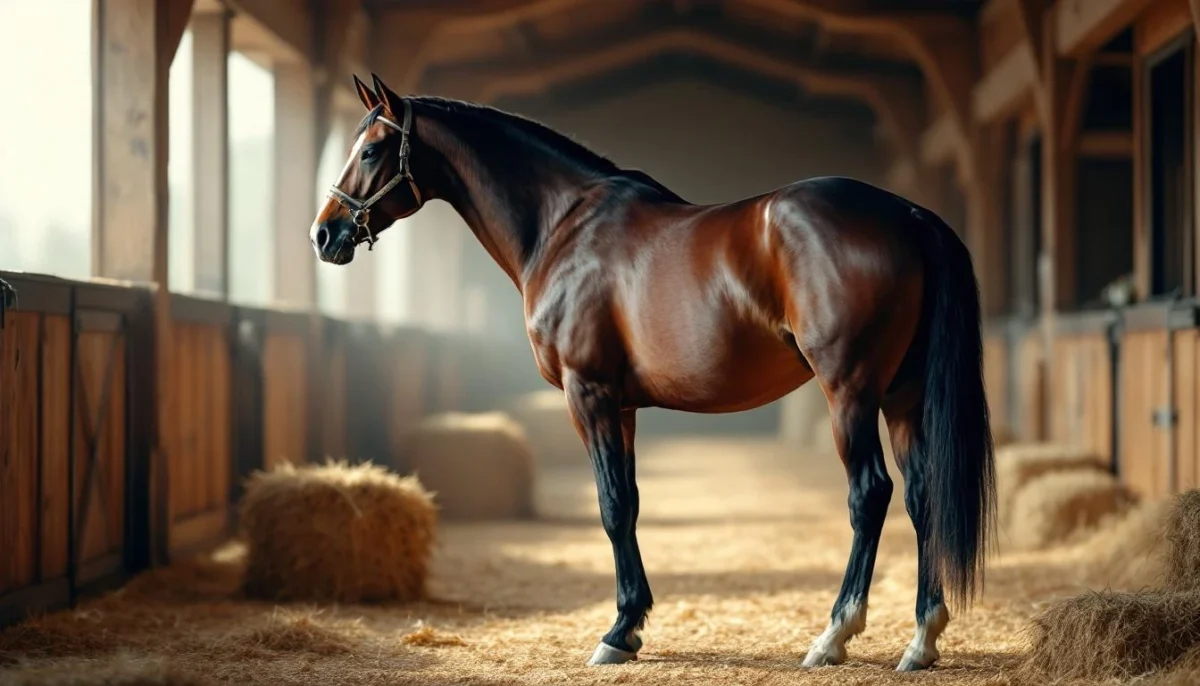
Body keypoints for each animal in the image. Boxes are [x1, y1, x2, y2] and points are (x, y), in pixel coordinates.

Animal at [309, 73, 995, 672]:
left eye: (371, 149)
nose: (325, 234)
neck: (562, 226)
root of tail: (906, 214)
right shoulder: (623, 405)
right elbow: (632, 502)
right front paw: (633, 624)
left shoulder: (588, 393)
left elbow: (612, 506)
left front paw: (616, 633)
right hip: (902, 396)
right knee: (922, 495)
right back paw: (921, 640)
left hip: (850, 392)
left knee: (870, 494)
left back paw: (833, 636)